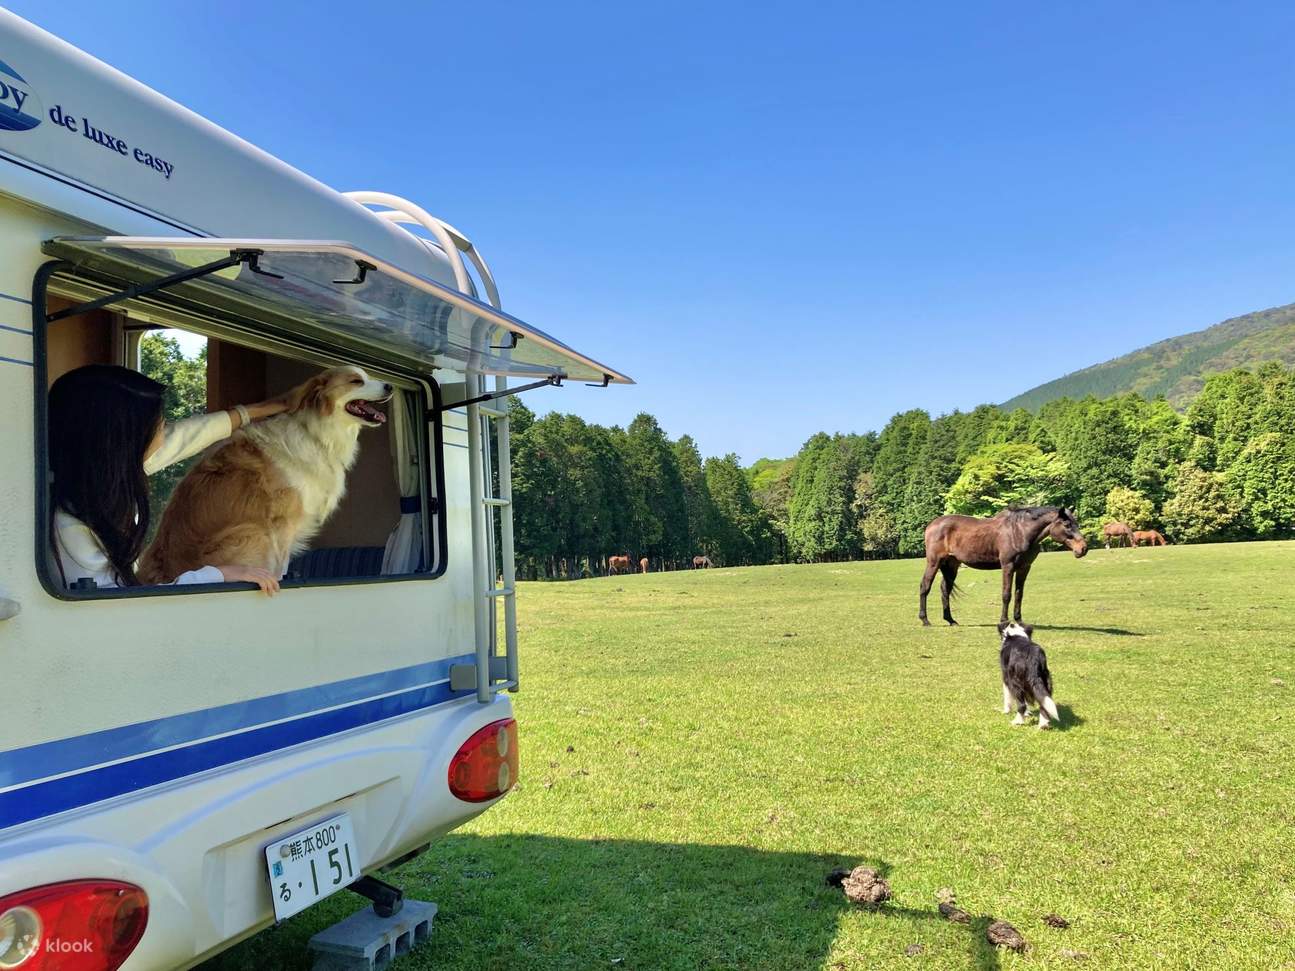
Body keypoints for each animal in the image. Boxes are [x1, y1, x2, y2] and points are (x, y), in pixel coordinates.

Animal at [919, 506, 1088, 626]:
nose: (1083, 549)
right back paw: (925, 620)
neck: (1020, 531)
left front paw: (1019, 620)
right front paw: (1004, 620)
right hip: (934, 562)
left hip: (951, 565)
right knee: (925, 587)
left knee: (945, 590)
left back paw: (950, 620)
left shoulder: (1024, 568)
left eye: (1076, 524)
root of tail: (931, 525)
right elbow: (1006, 594)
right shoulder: (1008, 565)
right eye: (1067, 525)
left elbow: (1019, 594)